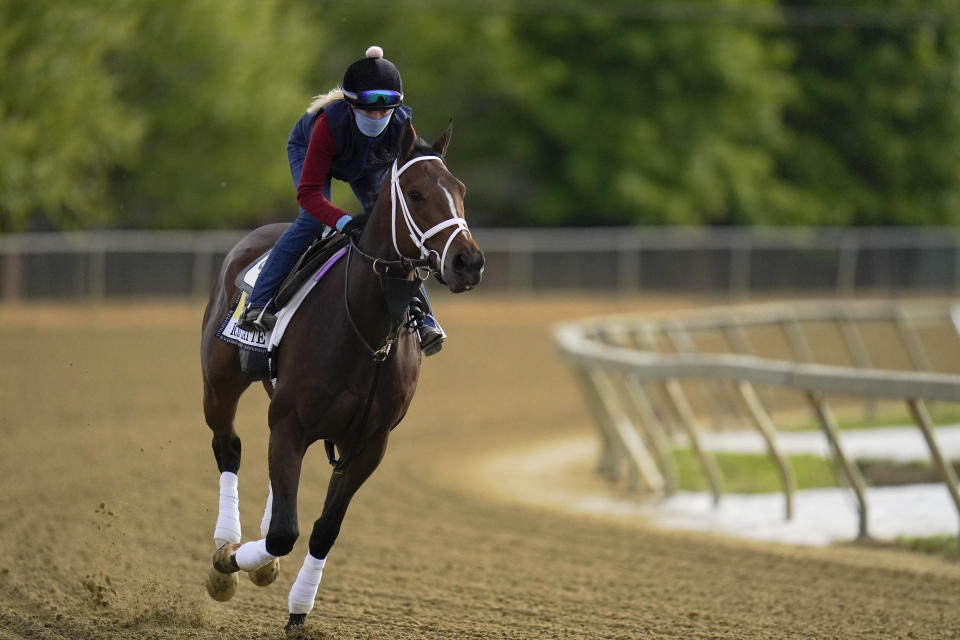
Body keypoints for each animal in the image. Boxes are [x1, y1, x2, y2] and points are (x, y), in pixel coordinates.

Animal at [203, 121, 488, 632]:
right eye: (415, 194)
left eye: (460, 191)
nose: (468, 262)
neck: (368, 331)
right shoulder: (291, 424)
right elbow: (283, 533)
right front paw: (230, 566)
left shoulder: (368, 443)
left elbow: (323, 530)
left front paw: (299, 610)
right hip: (218, 385)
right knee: (228, 448)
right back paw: (225, 544)